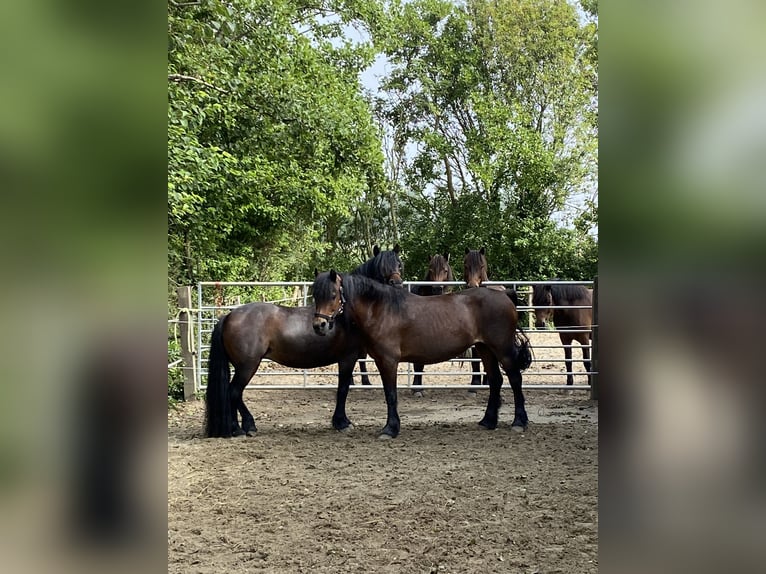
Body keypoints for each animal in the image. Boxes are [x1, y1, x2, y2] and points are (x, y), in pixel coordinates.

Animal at [204, 245, 408, 438]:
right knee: (234, 392)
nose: (397, 284)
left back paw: (241, 427)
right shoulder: (348, 358)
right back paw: (242, 428)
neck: (343, 315)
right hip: (247, 365)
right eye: (382, 268)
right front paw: (342, 422)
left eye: (399, 264)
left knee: (234, 394)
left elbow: (343, 389)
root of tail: (229, 316)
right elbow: (342, 389)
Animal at [312, 272, 536, 438]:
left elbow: (390, 394)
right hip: (484, 349)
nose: (319, 325)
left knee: (515, 379)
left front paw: (390, 429)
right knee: (496, 380)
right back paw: (488, 421)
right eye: (315, 295)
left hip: (502, 349)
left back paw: (518, 421)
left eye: (333, 294)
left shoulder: (388, 361)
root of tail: (504, 295)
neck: (381, 310)